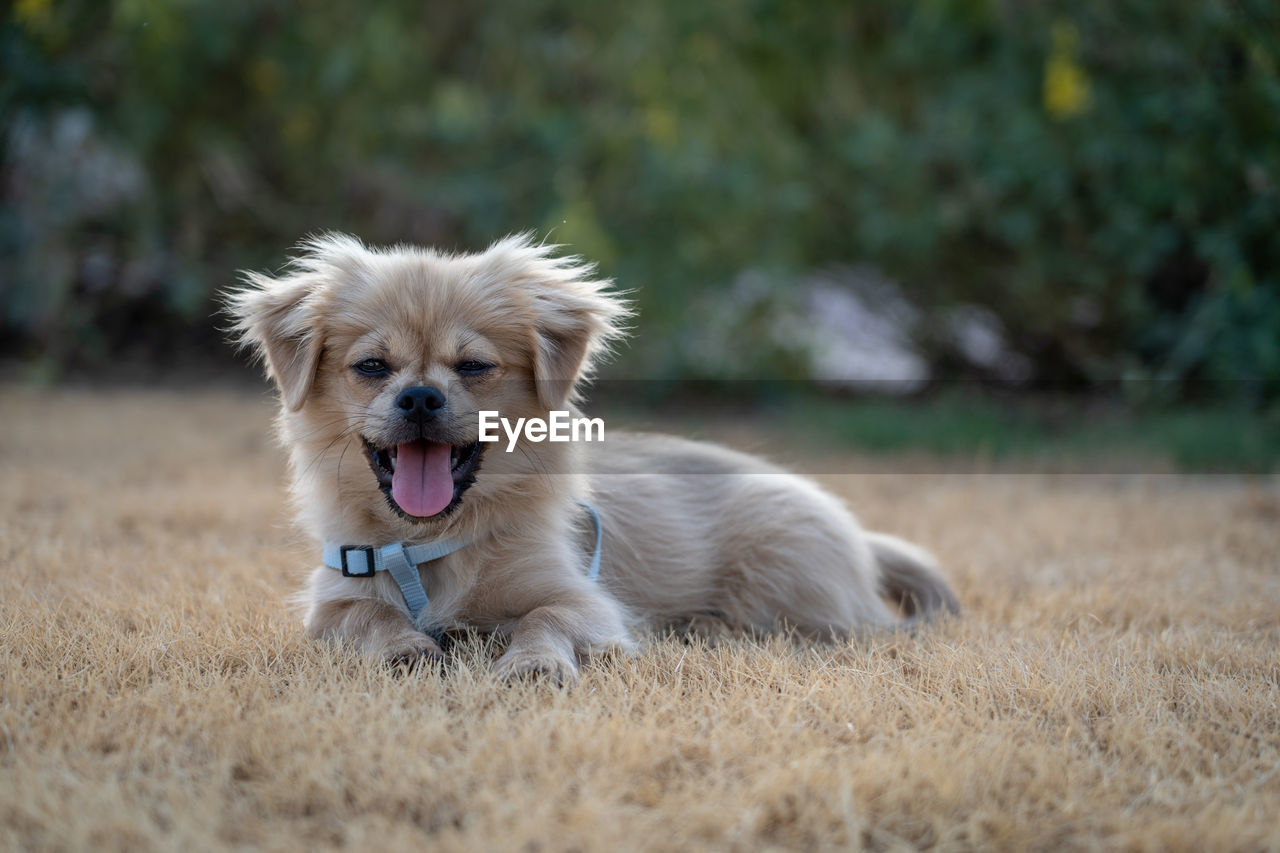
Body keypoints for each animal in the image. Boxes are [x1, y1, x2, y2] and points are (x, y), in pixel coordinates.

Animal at [225, 234, 957, 686]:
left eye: (474, 367)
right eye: (372, 367)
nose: (421, 396)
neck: (434, 545)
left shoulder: (587, 601)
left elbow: (543, 617)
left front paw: (534, 664)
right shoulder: (332, 604)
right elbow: (371, 616)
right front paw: (407, 646)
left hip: (776, 580)